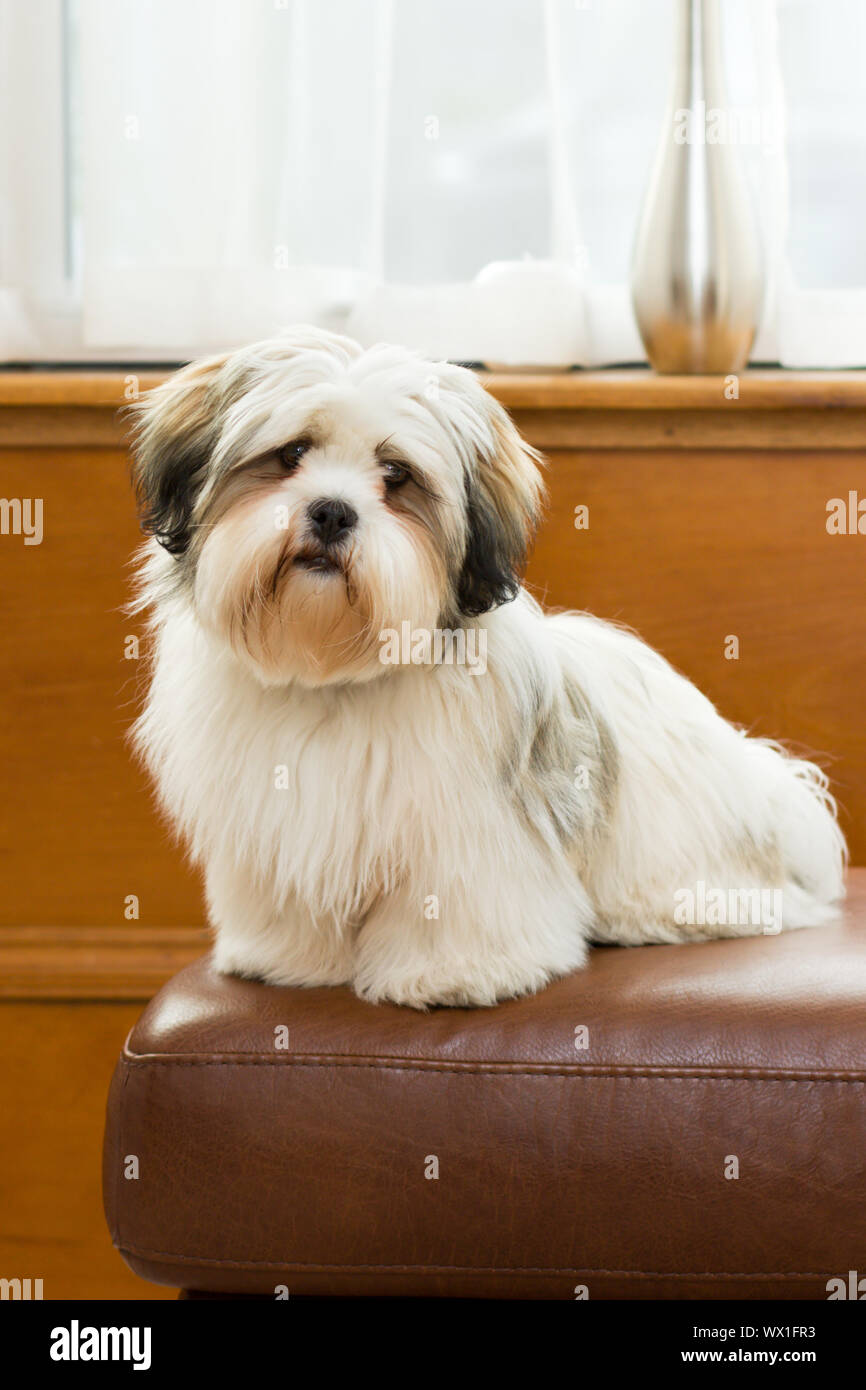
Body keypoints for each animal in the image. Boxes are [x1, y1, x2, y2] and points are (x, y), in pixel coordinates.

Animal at [128, 332, 845, 1017]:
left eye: (396, 475)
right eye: (290, 453)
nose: (332, 511)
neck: (336, 674)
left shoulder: (466, 828)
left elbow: (456, 900)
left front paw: (451, 973)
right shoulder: (274, 822)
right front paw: (285, 956)